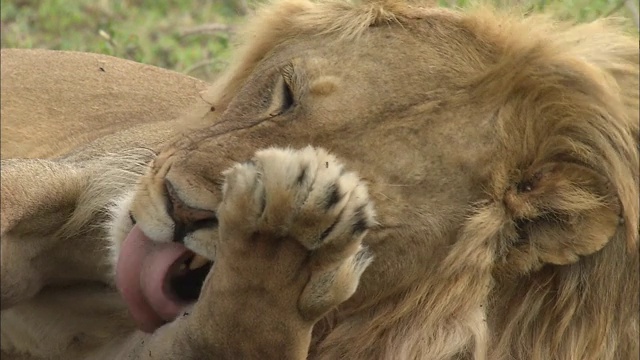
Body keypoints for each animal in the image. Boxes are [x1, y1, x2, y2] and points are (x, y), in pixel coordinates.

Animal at [1, 0, 640, 358]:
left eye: (364, 218)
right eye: (286, 95)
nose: (181, 209)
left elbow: (240, 327)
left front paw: (289, 229)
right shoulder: (89, 168)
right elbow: (22, 190)